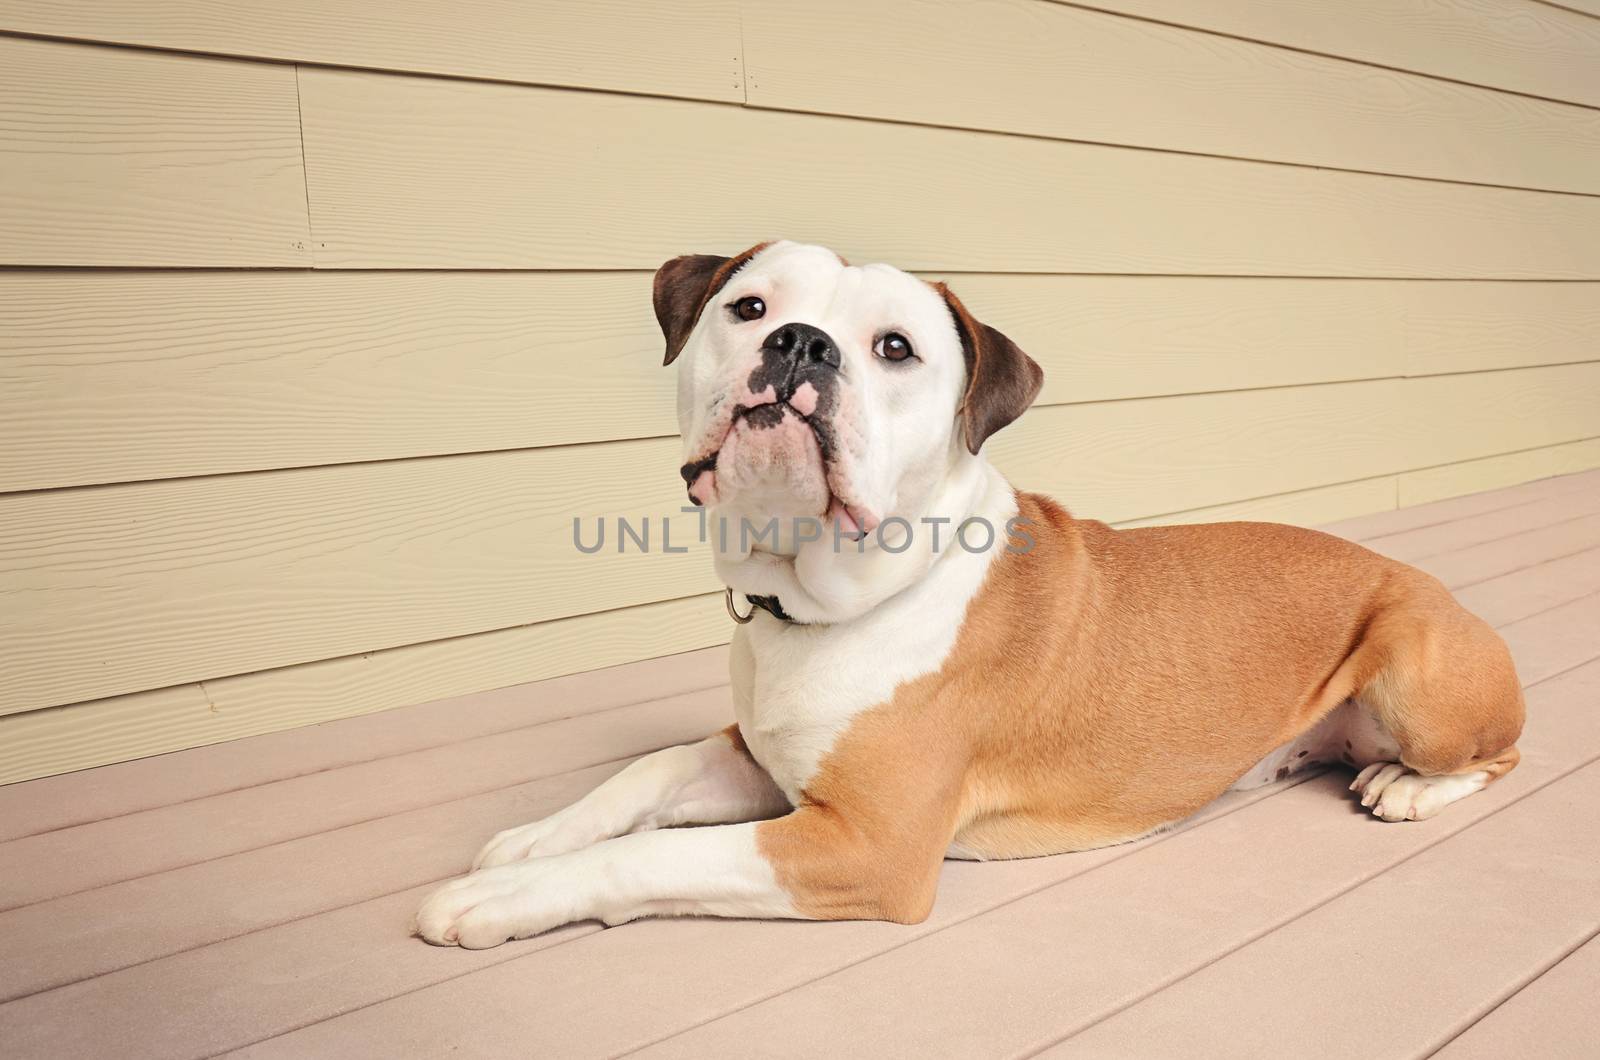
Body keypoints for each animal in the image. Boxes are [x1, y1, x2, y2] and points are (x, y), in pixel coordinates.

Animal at [416, 243, 1523, 954]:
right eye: (750, 308)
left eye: (896, 348)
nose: (802, 343)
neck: (818, 597)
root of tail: (1436, 587)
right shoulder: (756, 758)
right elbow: (644, 776)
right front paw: (531, 839)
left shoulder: (865, 846)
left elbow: (648, 860)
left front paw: (503, 895)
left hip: (1416, 670)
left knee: (1496, 756)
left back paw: (1406, 787)